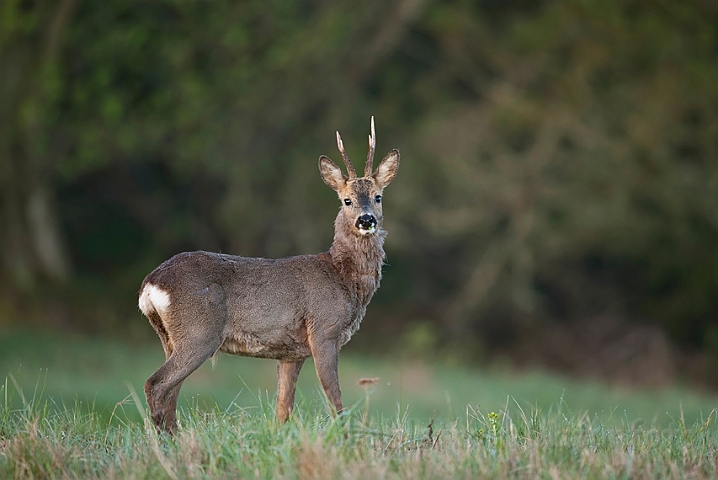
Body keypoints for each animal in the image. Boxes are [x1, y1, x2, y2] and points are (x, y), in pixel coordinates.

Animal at [139, 118, 400, 434]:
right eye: (347, 200)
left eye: (378, 197)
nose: (366, 219)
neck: (343, 278)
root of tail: (151, 284)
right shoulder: (324, 329)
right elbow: (334, 396)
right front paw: (344, 436)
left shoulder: (291, 353)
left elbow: (283, 407)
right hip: (199, 331)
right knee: (156, 384)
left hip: (170, 337)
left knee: (171, 391)